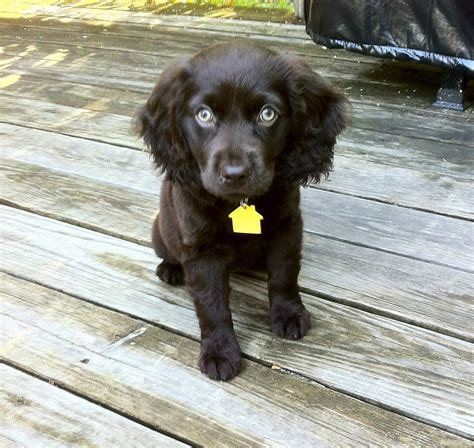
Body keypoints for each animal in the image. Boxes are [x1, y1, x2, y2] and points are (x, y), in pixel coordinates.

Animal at [134, 42, 348, 380]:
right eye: (204, 115)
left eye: (267, 114)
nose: (235, 173)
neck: (239, 201)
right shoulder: (201, 251)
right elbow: (212, 305)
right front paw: (219, 351)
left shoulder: (288, 227)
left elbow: (284, 273)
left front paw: (289, 314)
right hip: (160, 232)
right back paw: (170, 269)